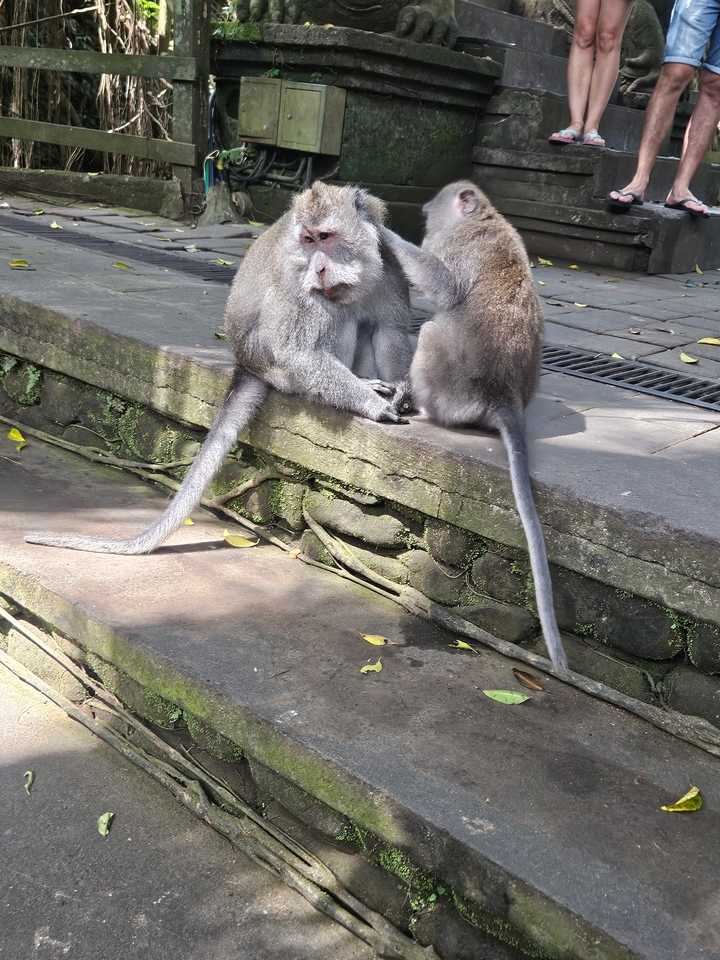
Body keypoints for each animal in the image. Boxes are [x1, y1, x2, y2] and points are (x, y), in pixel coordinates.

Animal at [25, 182, 414, 556]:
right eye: (308, 240)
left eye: (325, 236)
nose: (318, 268)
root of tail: (245, 361)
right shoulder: (302, 288)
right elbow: (298, 350)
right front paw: (372, 403)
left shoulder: (388, 260)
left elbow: (391, 328)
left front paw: (401, 389)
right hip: (272, 362)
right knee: (330, 318)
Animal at [380, 181, 568, 670]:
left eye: (432, 210)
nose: (423, 213)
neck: (485, 217)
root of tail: (504, 396)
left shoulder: (455, 247)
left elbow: (442, 285)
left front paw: (384, 234)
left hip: (450, 383)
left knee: (431, 331)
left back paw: (417, 403)